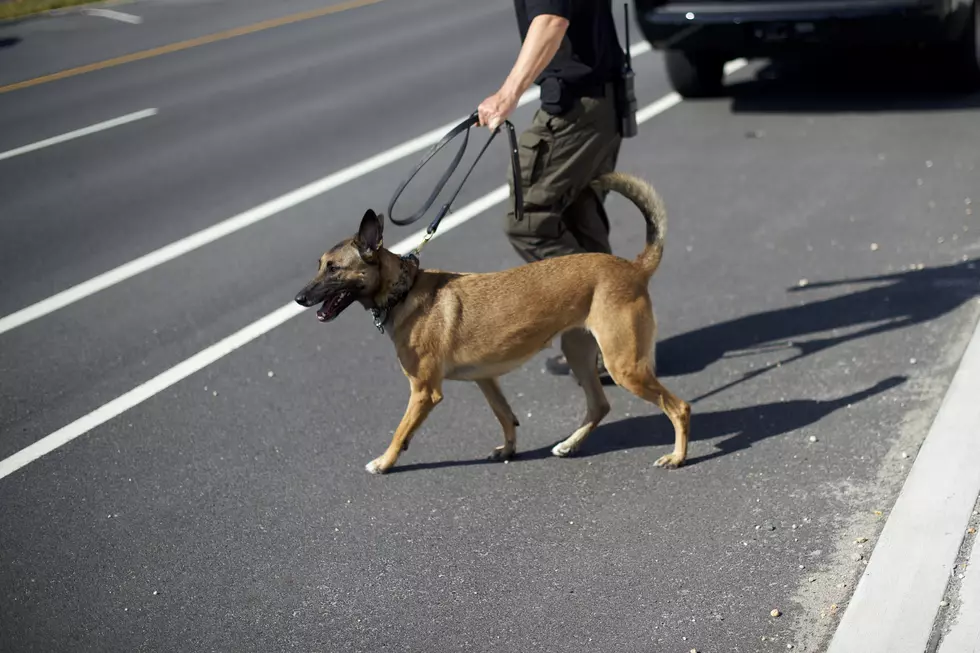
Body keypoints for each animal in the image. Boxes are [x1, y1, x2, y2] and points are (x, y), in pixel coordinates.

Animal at [294, 171, 692, 472]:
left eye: (334, 269)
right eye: (319, 265)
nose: (299, 298)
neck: (402, 291)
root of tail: (632, 267)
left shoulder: (423, 392)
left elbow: (400, 432)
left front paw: (384, 462)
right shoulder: (485, 379)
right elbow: (505, 416)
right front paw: (509, 450)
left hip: (625, 366)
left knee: (679, 407)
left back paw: (676, 457)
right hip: (580, 352)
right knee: (599, 405)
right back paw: (569, 445)